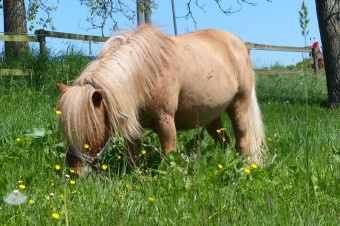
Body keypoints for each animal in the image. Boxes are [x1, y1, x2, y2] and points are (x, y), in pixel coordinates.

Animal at [56, 25, 266, 177]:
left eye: (92, 127)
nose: (75, 171)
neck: (145, 74)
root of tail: (239, 44)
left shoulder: (165, 121)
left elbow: (169, 154)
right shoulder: (133, 128)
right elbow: (134, 158)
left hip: (239, 107)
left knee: (242, 142)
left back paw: (244, 166)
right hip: (211, 116)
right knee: (224, 141)